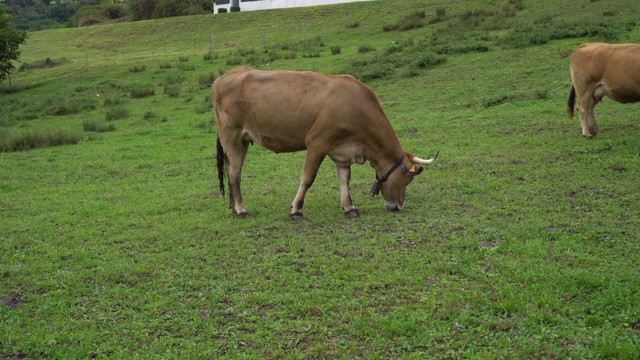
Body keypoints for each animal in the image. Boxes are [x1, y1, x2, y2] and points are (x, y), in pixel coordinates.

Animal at [212, 66, 438, 221]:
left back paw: (234, 207)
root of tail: (227, 75)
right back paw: (241, 209)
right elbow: (307, 178)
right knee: (234, 172)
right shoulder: (316, 143)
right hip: (232, 135)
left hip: (242, 140)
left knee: (230, 171)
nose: (398, 207)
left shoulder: (343, 151)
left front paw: (349, 208)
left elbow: (344, 180)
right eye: (407, 179)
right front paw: (296, 210)